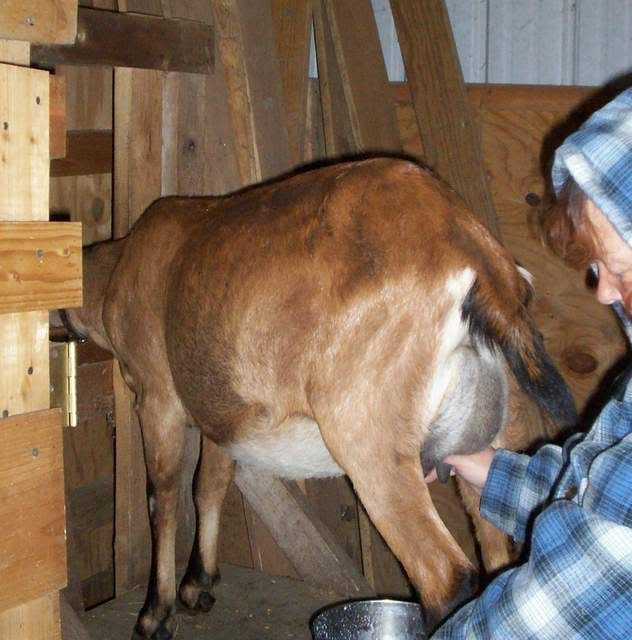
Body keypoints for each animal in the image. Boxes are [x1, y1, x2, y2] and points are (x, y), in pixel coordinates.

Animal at [64, 158, 575, 639]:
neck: (121, 267)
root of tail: (481, 261)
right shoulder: (221, 415)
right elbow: (209, 485)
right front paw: (199, 584)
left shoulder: (157, 396)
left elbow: (163, 497)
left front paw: (156, 615)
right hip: (490, 439)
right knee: (496, 550)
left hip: (369, 443)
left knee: (446, 577)